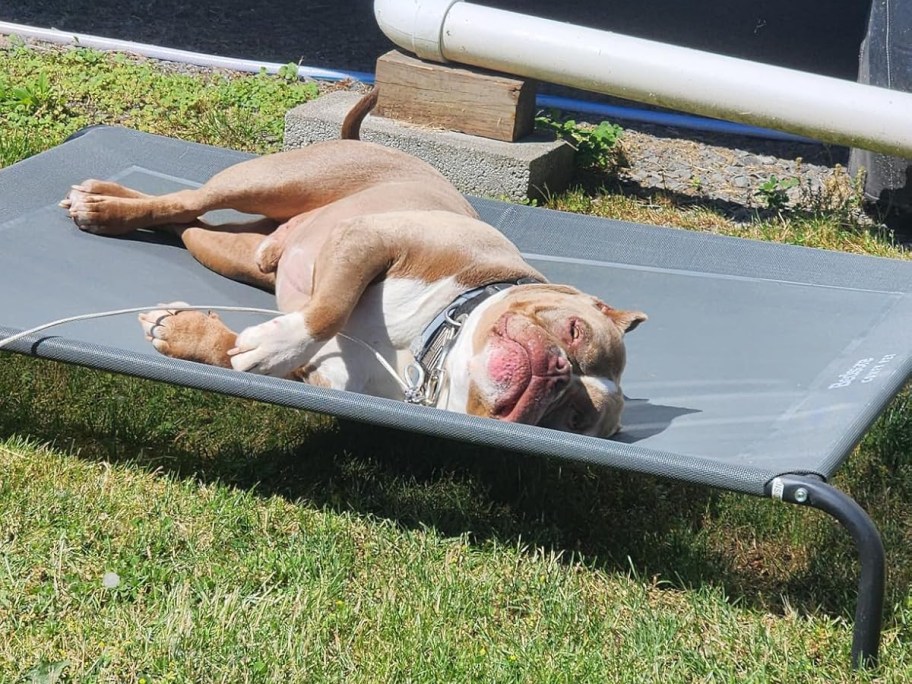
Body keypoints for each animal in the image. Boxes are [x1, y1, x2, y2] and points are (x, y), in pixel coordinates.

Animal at [60, 91, 644, 438]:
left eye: (574, 419)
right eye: (574, 332)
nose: (557, 370)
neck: (434, 347)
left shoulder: (325, 378)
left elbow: (235, 352)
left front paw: (189, 332)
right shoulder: (371, 238)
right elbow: (329, 309)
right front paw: (278, 340)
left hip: (233, 252)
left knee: (186, 224)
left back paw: (110, 207)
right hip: (271, 179)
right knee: (186, 200)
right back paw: (104, 205)